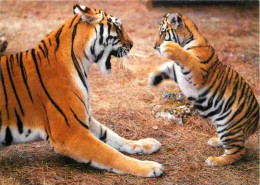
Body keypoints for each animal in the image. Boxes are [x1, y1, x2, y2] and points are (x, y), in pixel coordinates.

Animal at [0, 5, 164, 177]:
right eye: (118, 28)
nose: (132, 44)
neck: (82, 62)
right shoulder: (70, 132)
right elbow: (111, 154)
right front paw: (149, 166)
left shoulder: (84, 117)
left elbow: (113, 136)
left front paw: (146, 143)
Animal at [149, 13, 258, 166]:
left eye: (163, 33)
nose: (154, 46)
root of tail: (256, 121)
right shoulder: (177, 71)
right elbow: (166, 67)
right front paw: (153, 77)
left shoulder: (198, 75)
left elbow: (187, 58)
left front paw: (170, 48)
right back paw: (215, 141)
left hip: (229, 127)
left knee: (238, 151)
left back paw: (215, 160)